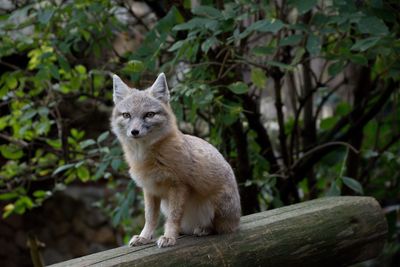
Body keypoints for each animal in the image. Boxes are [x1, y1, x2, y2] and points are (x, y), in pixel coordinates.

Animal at [109, 73, 241, 249]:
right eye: (126, 115)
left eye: (149, 115)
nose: (134, 131)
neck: (146, 159)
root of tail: (237, 220)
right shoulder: (149, 189)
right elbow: (150, 218)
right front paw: (144, 237)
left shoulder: (178, 186)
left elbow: (173, 217)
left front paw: (169, 237)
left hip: (215, 206)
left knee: (219, 228)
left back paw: (203, 229)